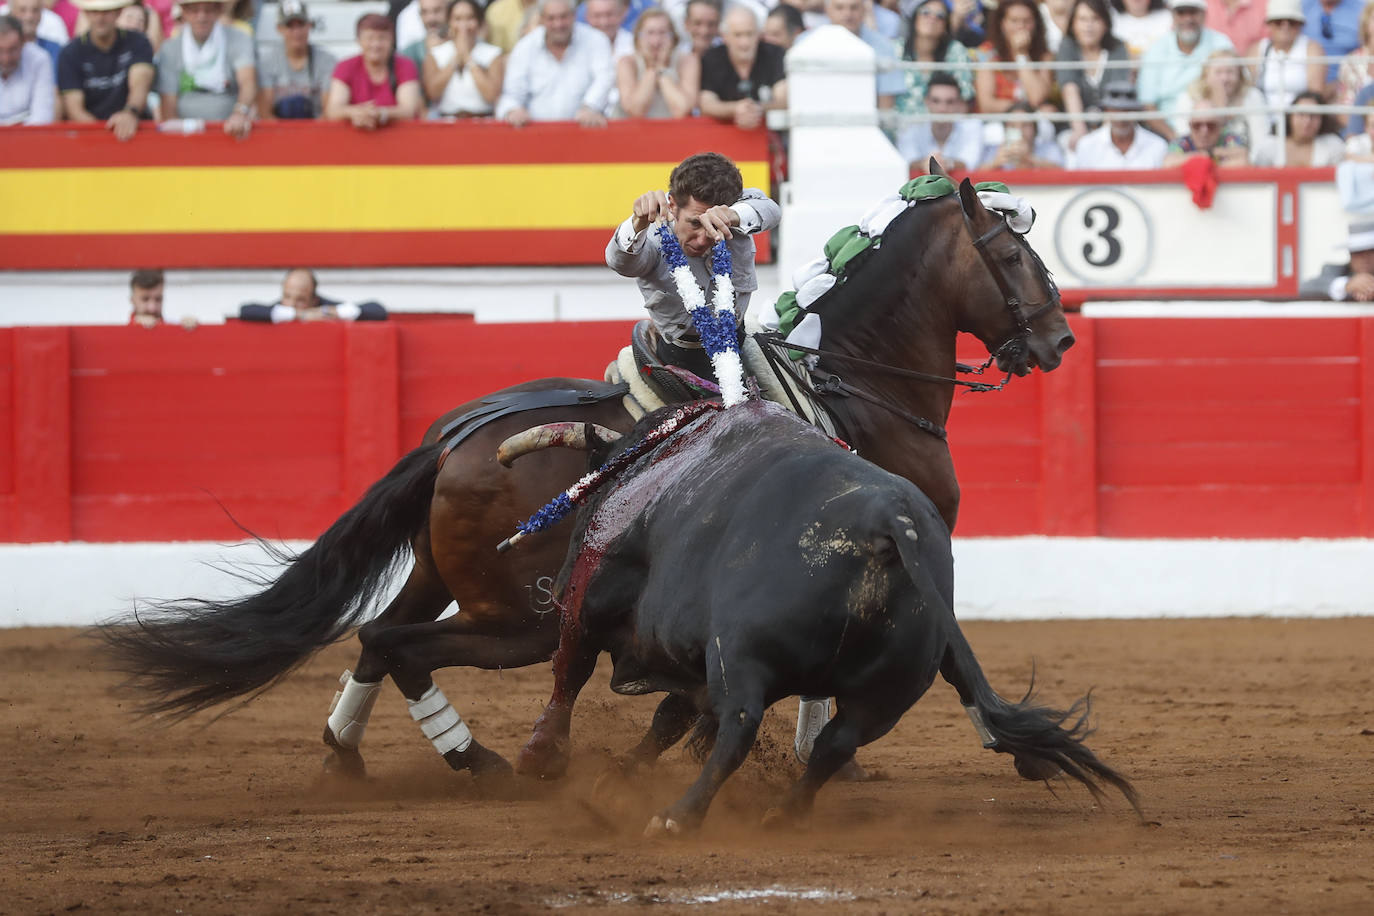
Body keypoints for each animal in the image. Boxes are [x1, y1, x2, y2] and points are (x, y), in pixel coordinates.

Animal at [104, 175, 1071, 785]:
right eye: (1012, 257)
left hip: (441, 576)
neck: (858, 385)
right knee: (399, 646)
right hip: (519, 617)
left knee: (378, 636)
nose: (1059, 339)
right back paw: (484, 760)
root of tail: (454, 439)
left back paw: (347, 753)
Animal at [519, 403, 1143, 834]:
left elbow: (573, 674)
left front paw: (547, 756)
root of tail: (887, 519)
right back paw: (784, 813)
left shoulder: (590, 606)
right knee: (836, 743)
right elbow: (668, 718)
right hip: (888, 690)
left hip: (739, 655)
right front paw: (619, 773)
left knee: (739, 725)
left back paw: (680, 816)